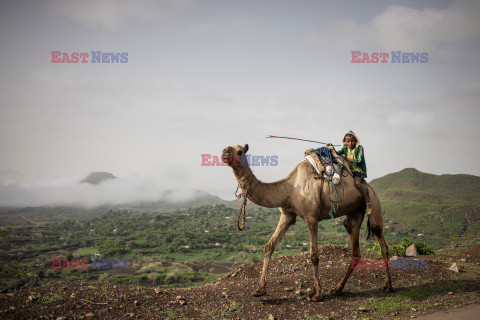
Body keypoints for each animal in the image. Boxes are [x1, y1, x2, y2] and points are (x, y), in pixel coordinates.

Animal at [223, 144, 392, 302]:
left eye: (240, 151)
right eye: (228, 148)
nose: (224, 152)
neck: (289, 190)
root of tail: (366, 184)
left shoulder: (311, 217)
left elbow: (314, 255)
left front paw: (316, 294)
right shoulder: (287, 215)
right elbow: (269, 246)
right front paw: (260, 289)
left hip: (373, 202)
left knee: (381, 241)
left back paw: (387, 286)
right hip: (355, 212)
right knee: (355, 249)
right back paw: (337, 288)